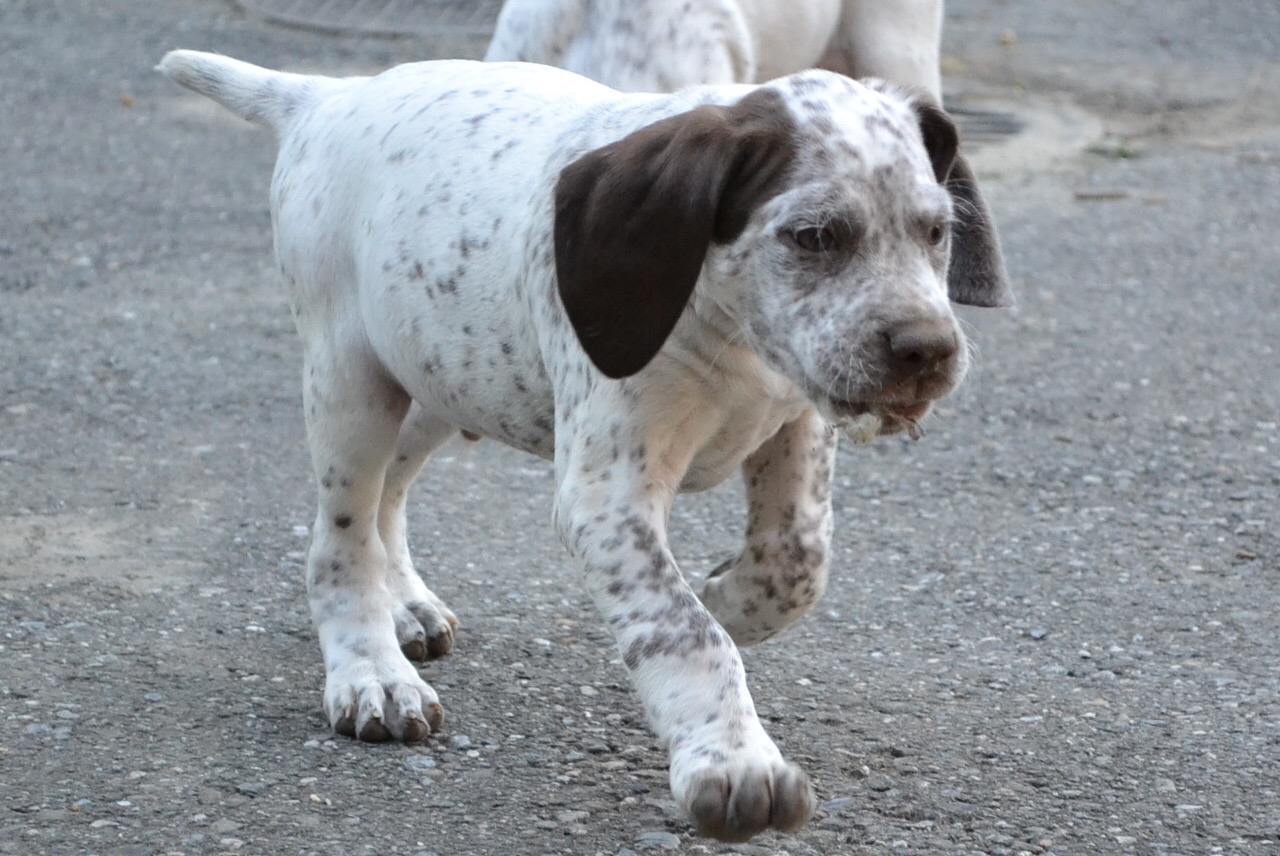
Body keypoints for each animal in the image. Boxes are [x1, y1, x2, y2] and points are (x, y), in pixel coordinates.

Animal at [157, 50, 998, 839]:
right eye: (814, 236)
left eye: (936, 232)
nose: (928, 351)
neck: (730, 332)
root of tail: (326, 96)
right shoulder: (607, 497)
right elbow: (683, 628)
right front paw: (731, 761)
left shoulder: (795, 418)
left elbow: (796, 561)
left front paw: (730, 600)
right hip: (352, 383)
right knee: (340, 537)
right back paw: (371, 673)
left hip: (445, 375)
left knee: (387, 494)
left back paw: (407, 605)